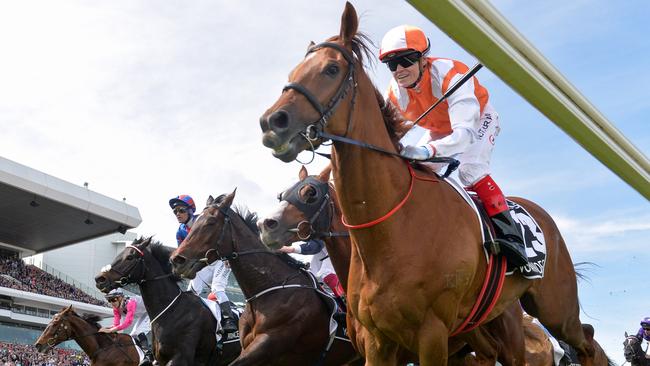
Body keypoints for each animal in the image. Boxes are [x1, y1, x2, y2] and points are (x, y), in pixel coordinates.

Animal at [168, 193, 360, 364]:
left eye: (210, 222)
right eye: (194, 225)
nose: (176, 260)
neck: (267, 291)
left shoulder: (268, 345)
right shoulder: (248, 347)